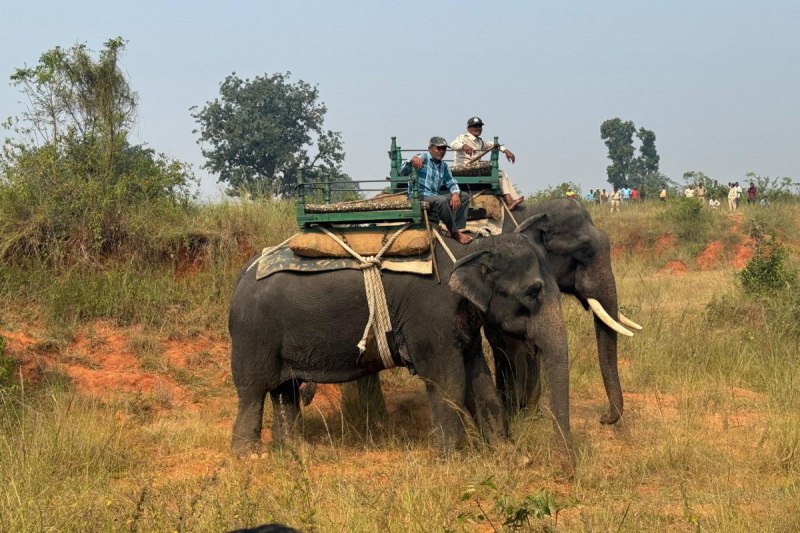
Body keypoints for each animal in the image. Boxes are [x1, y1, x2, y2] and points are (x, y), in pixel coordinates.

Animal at [228, 232, 570, 455]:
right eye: (534, 292)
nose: (566, 465)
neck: (468, 249)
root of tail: (242, 274)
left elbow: (478, 377)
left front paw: (510, 455)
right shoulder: (431, 314)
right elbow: (447, 379)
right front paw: (452, 459)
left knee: (283, 390)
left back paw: (296, 452)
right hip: (253, 334)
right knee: (253, 391)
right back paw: (250, 456)